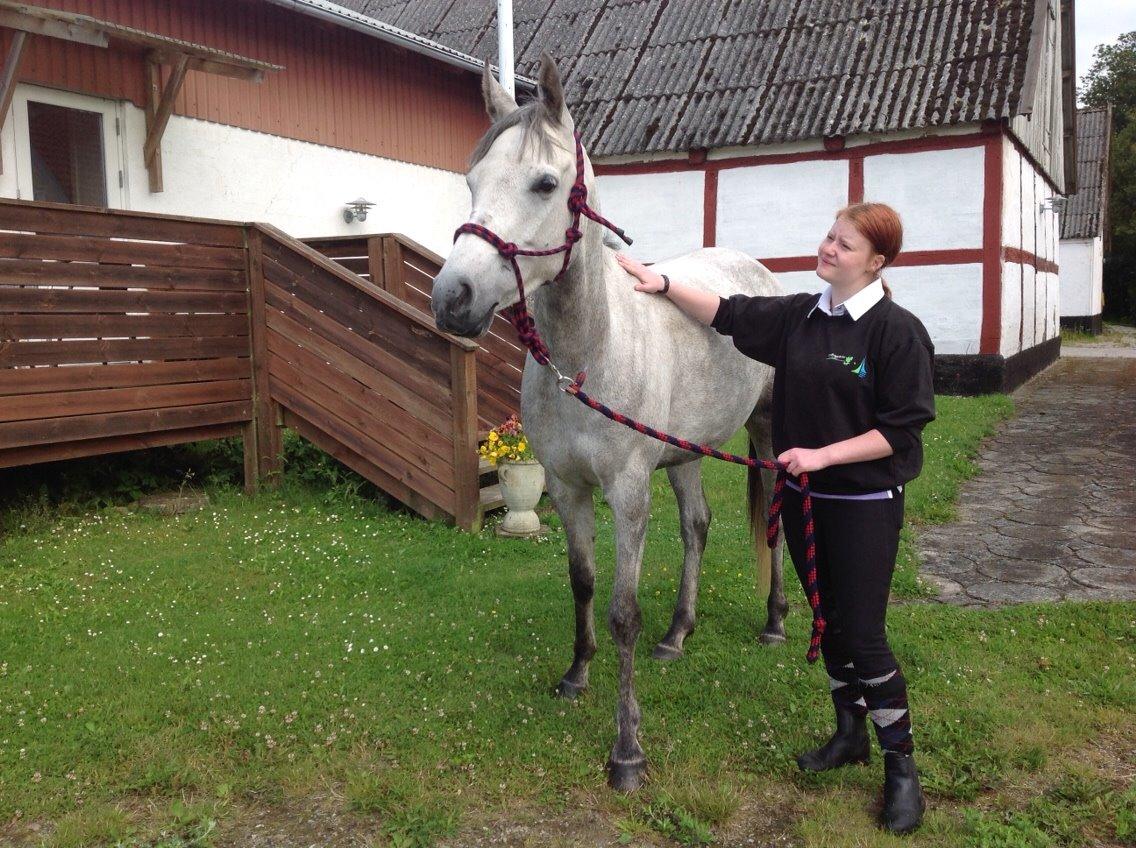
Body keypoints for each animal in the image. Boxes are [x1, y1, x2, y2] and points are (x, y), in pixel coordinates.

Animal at [429, 56, 786, 791]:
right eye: (472, 182)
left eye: (544, 182)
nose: (452, 299)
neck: (588, 356)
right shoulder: (568, 490)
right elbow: (583, 583)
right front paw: (576, 675)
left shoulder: (627, 493)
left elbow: (623, 612)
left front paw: (627, 750)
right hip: (685, 454)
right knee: (697, 526)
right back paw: (678, 634)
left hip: (766, 431)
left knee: (774, 523)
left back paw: (773, 623)